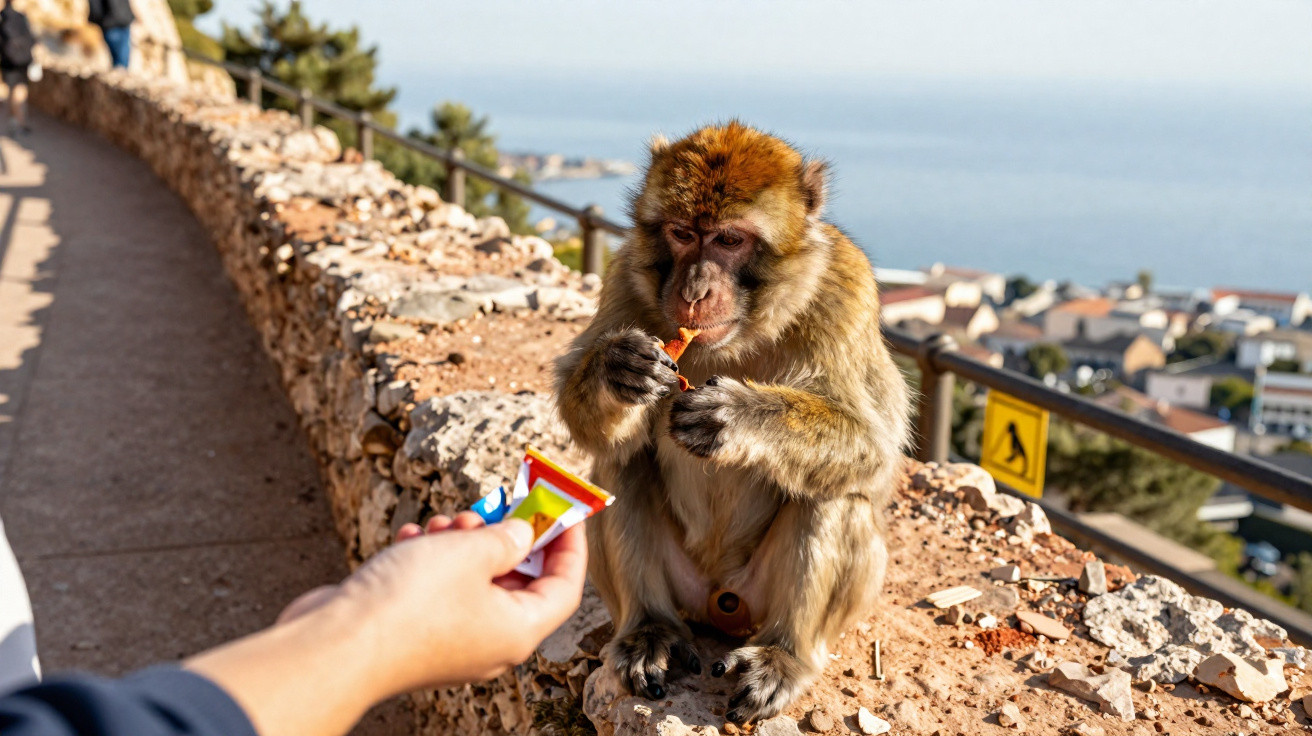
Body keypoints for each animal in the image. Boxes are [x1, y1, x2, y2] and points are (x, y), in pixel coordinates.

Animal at [553, 122, 912, 724]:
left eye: (728, 241)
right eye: (680, 233)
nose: (694, 291)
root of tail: (719, 603)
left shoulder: (846, 290)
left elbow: (874, 448)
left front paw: (737, 418)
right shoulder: (624, 275)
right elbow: (585, 420)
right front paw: (616, 368)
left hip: (760, 599)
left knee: (833, 493)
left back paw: (786, 657)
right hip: (685, 588)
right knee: (620, 462)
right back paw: (649, 630)